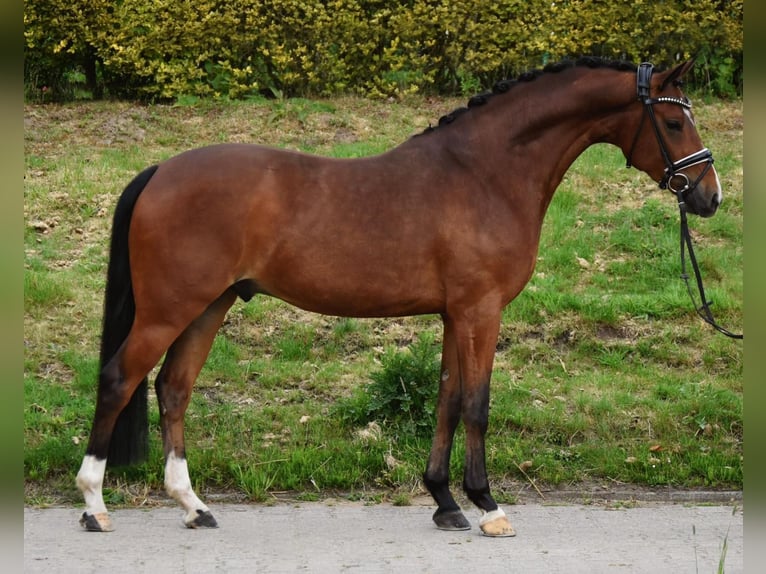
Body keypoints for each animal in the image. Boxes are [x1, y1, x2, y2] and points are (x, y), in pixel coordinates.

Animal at [76, 57, 722, 537]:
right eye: (672, 124)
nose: (709, 196)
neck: (484, 173)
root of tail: (161, 171)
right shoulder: (481, 312)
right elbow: (477, 405)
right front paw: (488, 506)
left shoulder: (454, 315)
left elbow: (446, 400)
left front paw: (445, 502)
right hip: (168, 310)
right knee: (120, 379)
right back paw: (95, 505)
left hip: (210, 306)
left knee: (173, 388)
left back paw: (194, 506)